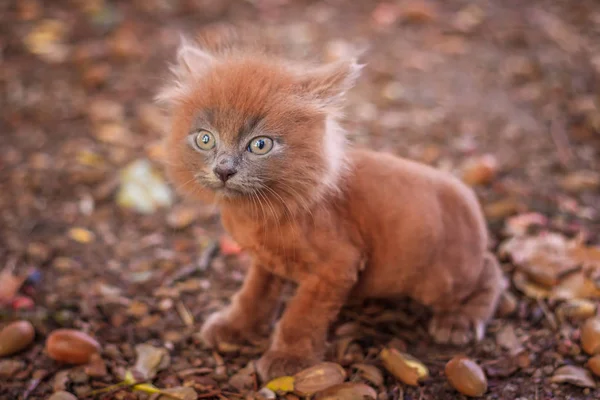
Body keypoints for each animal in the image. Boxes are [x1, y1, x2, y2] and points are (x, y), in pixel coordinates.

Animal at [158, 25, 506, 382]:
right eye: (205, 139)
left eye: (260, 145)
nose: (224, 170)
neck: (257, 210)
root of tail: (469, 200)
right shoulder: (265, 260)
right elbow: (254, 293)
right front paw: (235, 326)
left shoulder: (336, 267)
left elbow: (302, 315)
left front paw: (289, 358)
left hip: (439, 279)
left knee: (492, 270)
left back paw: (459, 321)